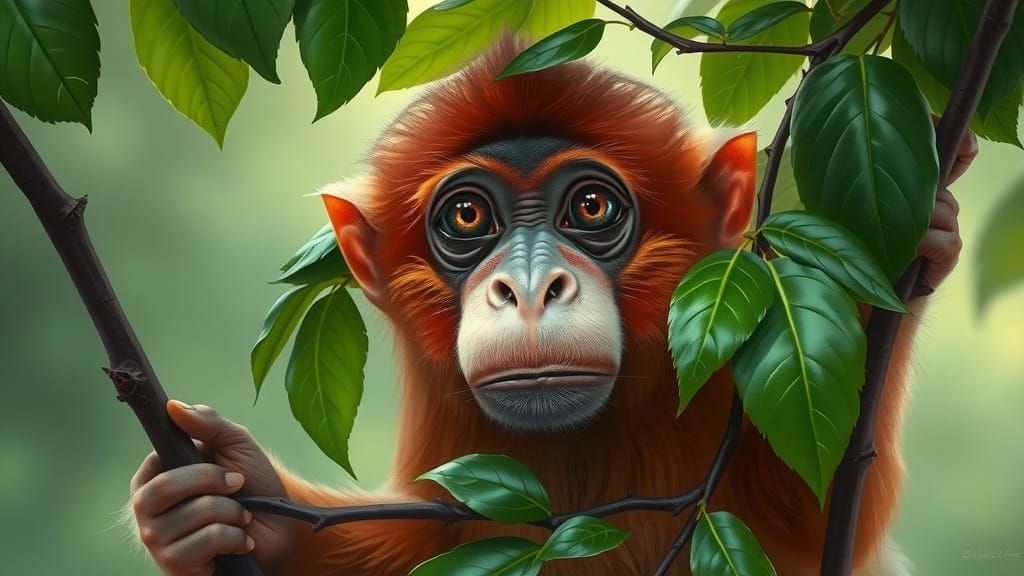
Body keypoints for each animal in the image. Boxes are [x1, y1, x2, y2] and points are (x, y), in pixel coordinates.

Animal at [128, 38, 975, 576]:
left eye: (591, 206)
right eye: (469, 217)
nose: (530, 289)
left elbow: (826, 514)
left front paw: (908, 245)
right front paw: (235, 512)